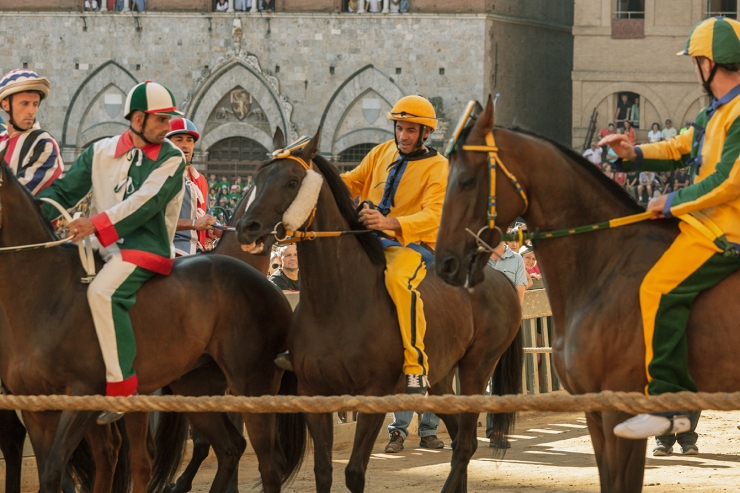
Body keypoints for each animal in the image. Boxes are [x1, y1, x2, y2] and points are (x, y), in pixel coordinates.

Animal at [0, 151, 305, 493]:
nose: (257, 230)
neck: (46, 292)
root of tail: (270, 289)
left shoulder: (81, 395)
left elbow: (56, 468)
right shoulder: (34, 406)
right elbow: (50, 469)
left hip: (251, 385)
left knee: (266, 462)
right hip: (193, 385)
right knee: (228, 447)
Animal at [234, 130, 523, 493]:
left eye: (292, 181)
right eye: (257, 177)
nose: (247, 227)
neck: (337, 303)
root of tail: (501, 279)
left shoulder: (374, 395)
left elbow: (354, 472)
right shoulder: (314, 394)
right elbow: (323, 471)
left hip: (477, 366)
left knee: (467, 442)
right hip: (439, 377)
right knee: (460, 436)